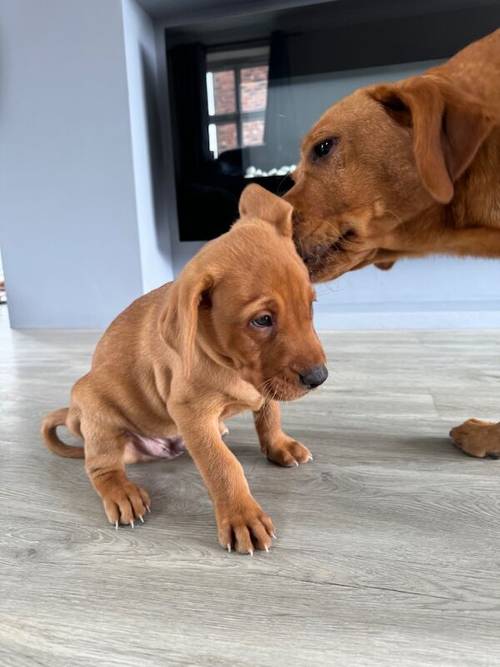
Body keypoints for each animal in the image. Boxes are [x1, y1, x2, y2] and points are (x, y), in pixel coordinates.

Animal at [41, 185, 326, 556]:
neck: (229, 363)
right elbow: (222, 465)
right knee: (100, 467)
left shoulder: (264, 384)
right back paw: (121, 493)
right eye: (262, 320)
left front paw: (279, 445)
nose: (319, 378)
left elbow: (269, 415)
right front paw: (241, 516)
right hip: (95, 409)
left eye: (310, 305)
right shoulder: (190, 411)